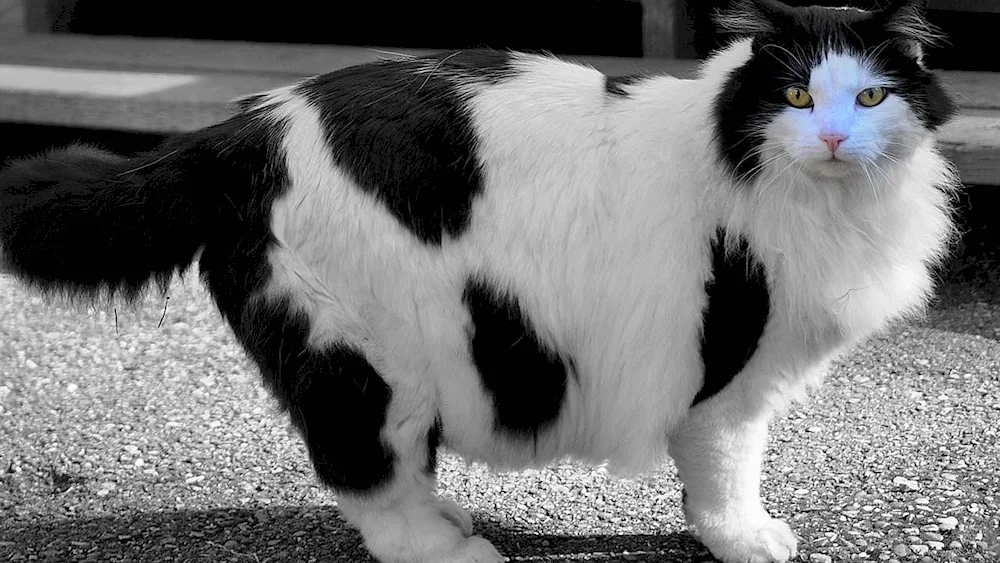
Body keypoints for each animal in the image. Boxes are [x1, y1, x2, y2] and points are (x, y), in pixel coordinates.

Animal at [0, 1, 960, 563]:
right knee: (368, 484)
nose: (834, 138)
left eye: (871, 98)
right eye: (796, 97)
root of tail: (248, 123)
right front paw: (745, 538)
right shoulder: (730, 375)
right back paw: (447, 547)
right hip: (371, 359)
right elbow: (728, 470)